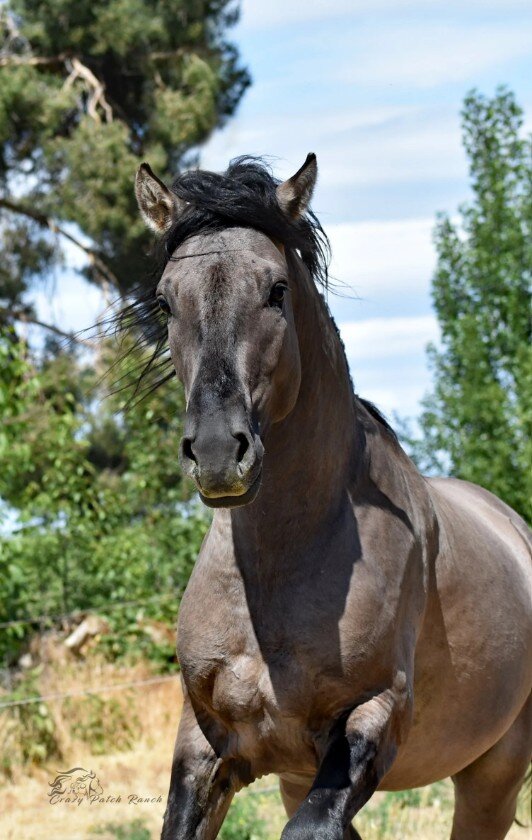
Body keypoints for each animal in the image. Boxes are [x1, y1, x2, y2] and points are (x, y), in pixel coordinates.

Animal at [130, 154, 532, 839]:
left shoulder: (373, 716)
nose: (217, 453)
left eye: (276, 290)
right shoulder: (207, 747)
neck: (275, 575)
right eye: (165, 300)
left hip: (494, 774)